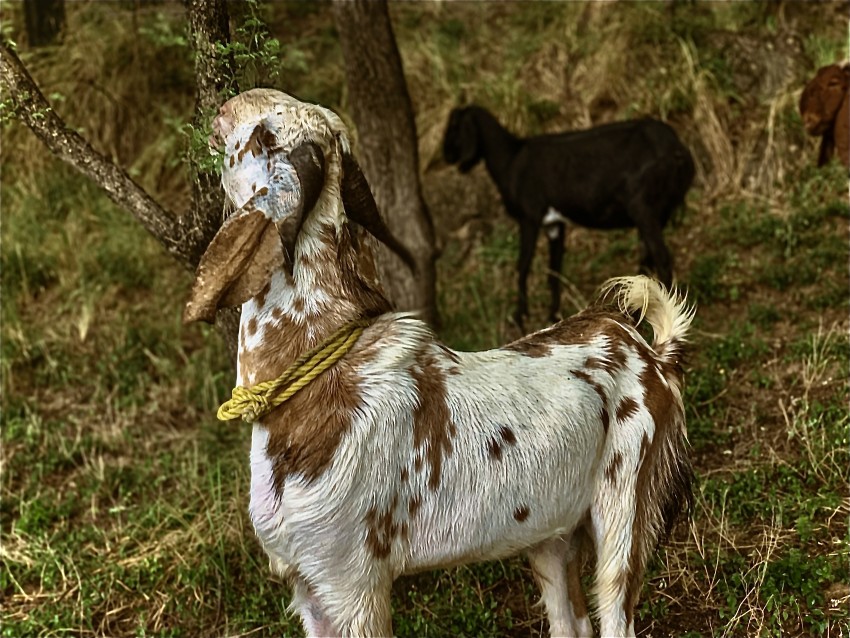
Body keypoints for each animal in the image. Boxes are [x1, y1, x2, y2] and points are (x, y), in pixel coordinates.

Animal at [442, 105, 695, 330]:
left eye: (454, 127)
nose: (445, 156)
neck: (511, 160)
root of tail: (676, 150)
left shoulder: (529, 216)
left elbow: (523, 265)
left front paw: (519, 318)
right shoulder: (555, 223)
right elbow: (554, 270)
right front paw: (552, 316)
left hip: (643, 208)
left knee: (662, 259)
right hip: (657, 212)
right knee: (647, 258)